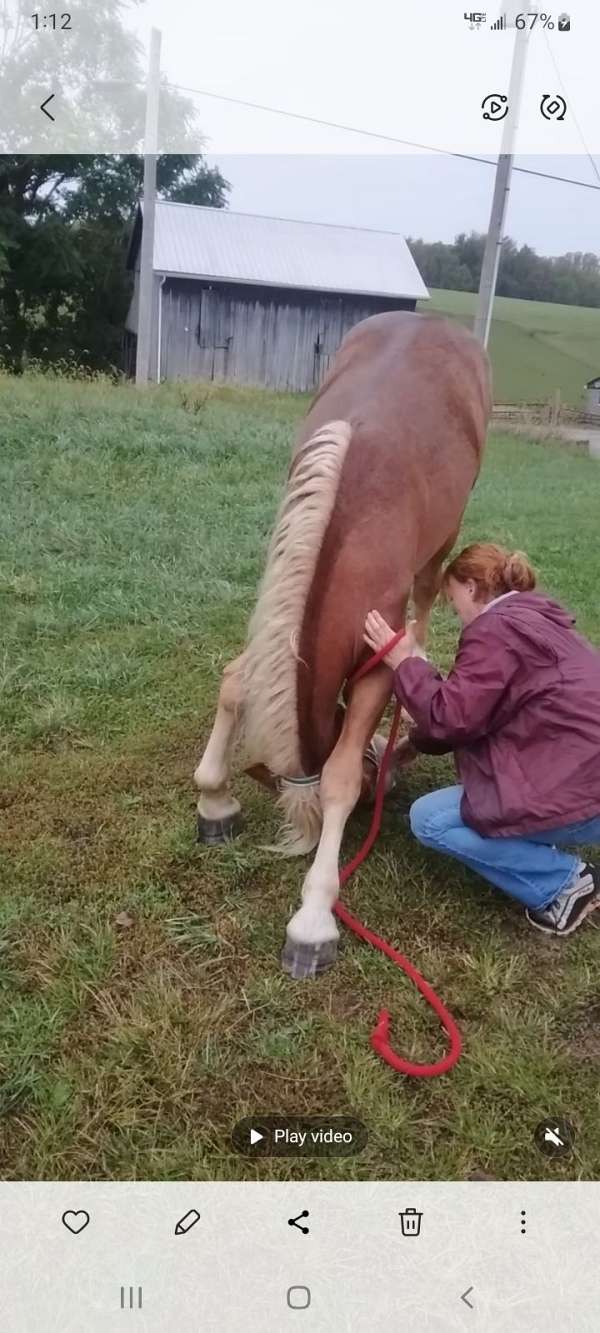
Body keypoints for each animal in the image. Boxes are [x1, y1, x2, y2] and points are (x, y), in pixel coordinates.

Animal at [194, 313, 490, 981]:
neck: (345, 525)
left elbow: (339, 778)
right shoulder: (271, 622)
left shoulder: (378, 667)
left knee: (429, 593)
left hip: (446, 539)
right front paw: (214, 799)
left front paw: (313, 917)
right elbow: (234, 682)